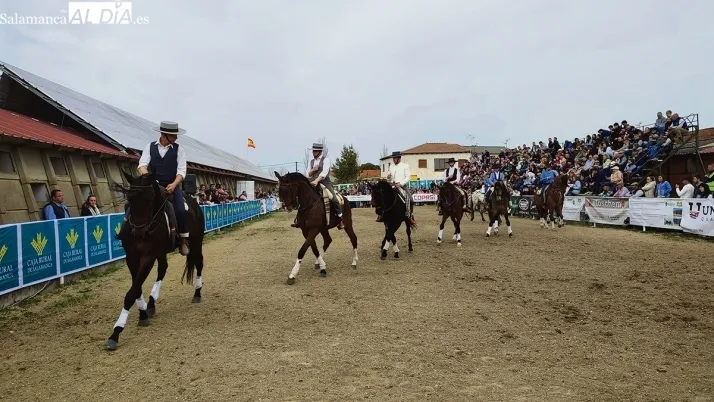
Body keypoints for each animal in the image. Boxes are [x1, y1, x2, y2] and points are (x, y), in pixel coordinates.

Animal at [105, 171, 205, 351]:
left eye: (149, 200)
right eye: (130, 199)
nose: (139, 232)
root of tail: (194, 202)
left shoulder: (148, 256)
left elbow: (131, 292)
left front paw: (116, 333)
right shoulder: (131, 257)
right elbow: (136, 288)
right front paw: (143, 313)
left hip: (196, 242)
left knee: (199, 263)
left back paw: (197, 293)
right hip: (162, 251)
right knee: (163, 268)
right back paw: (151, 303)